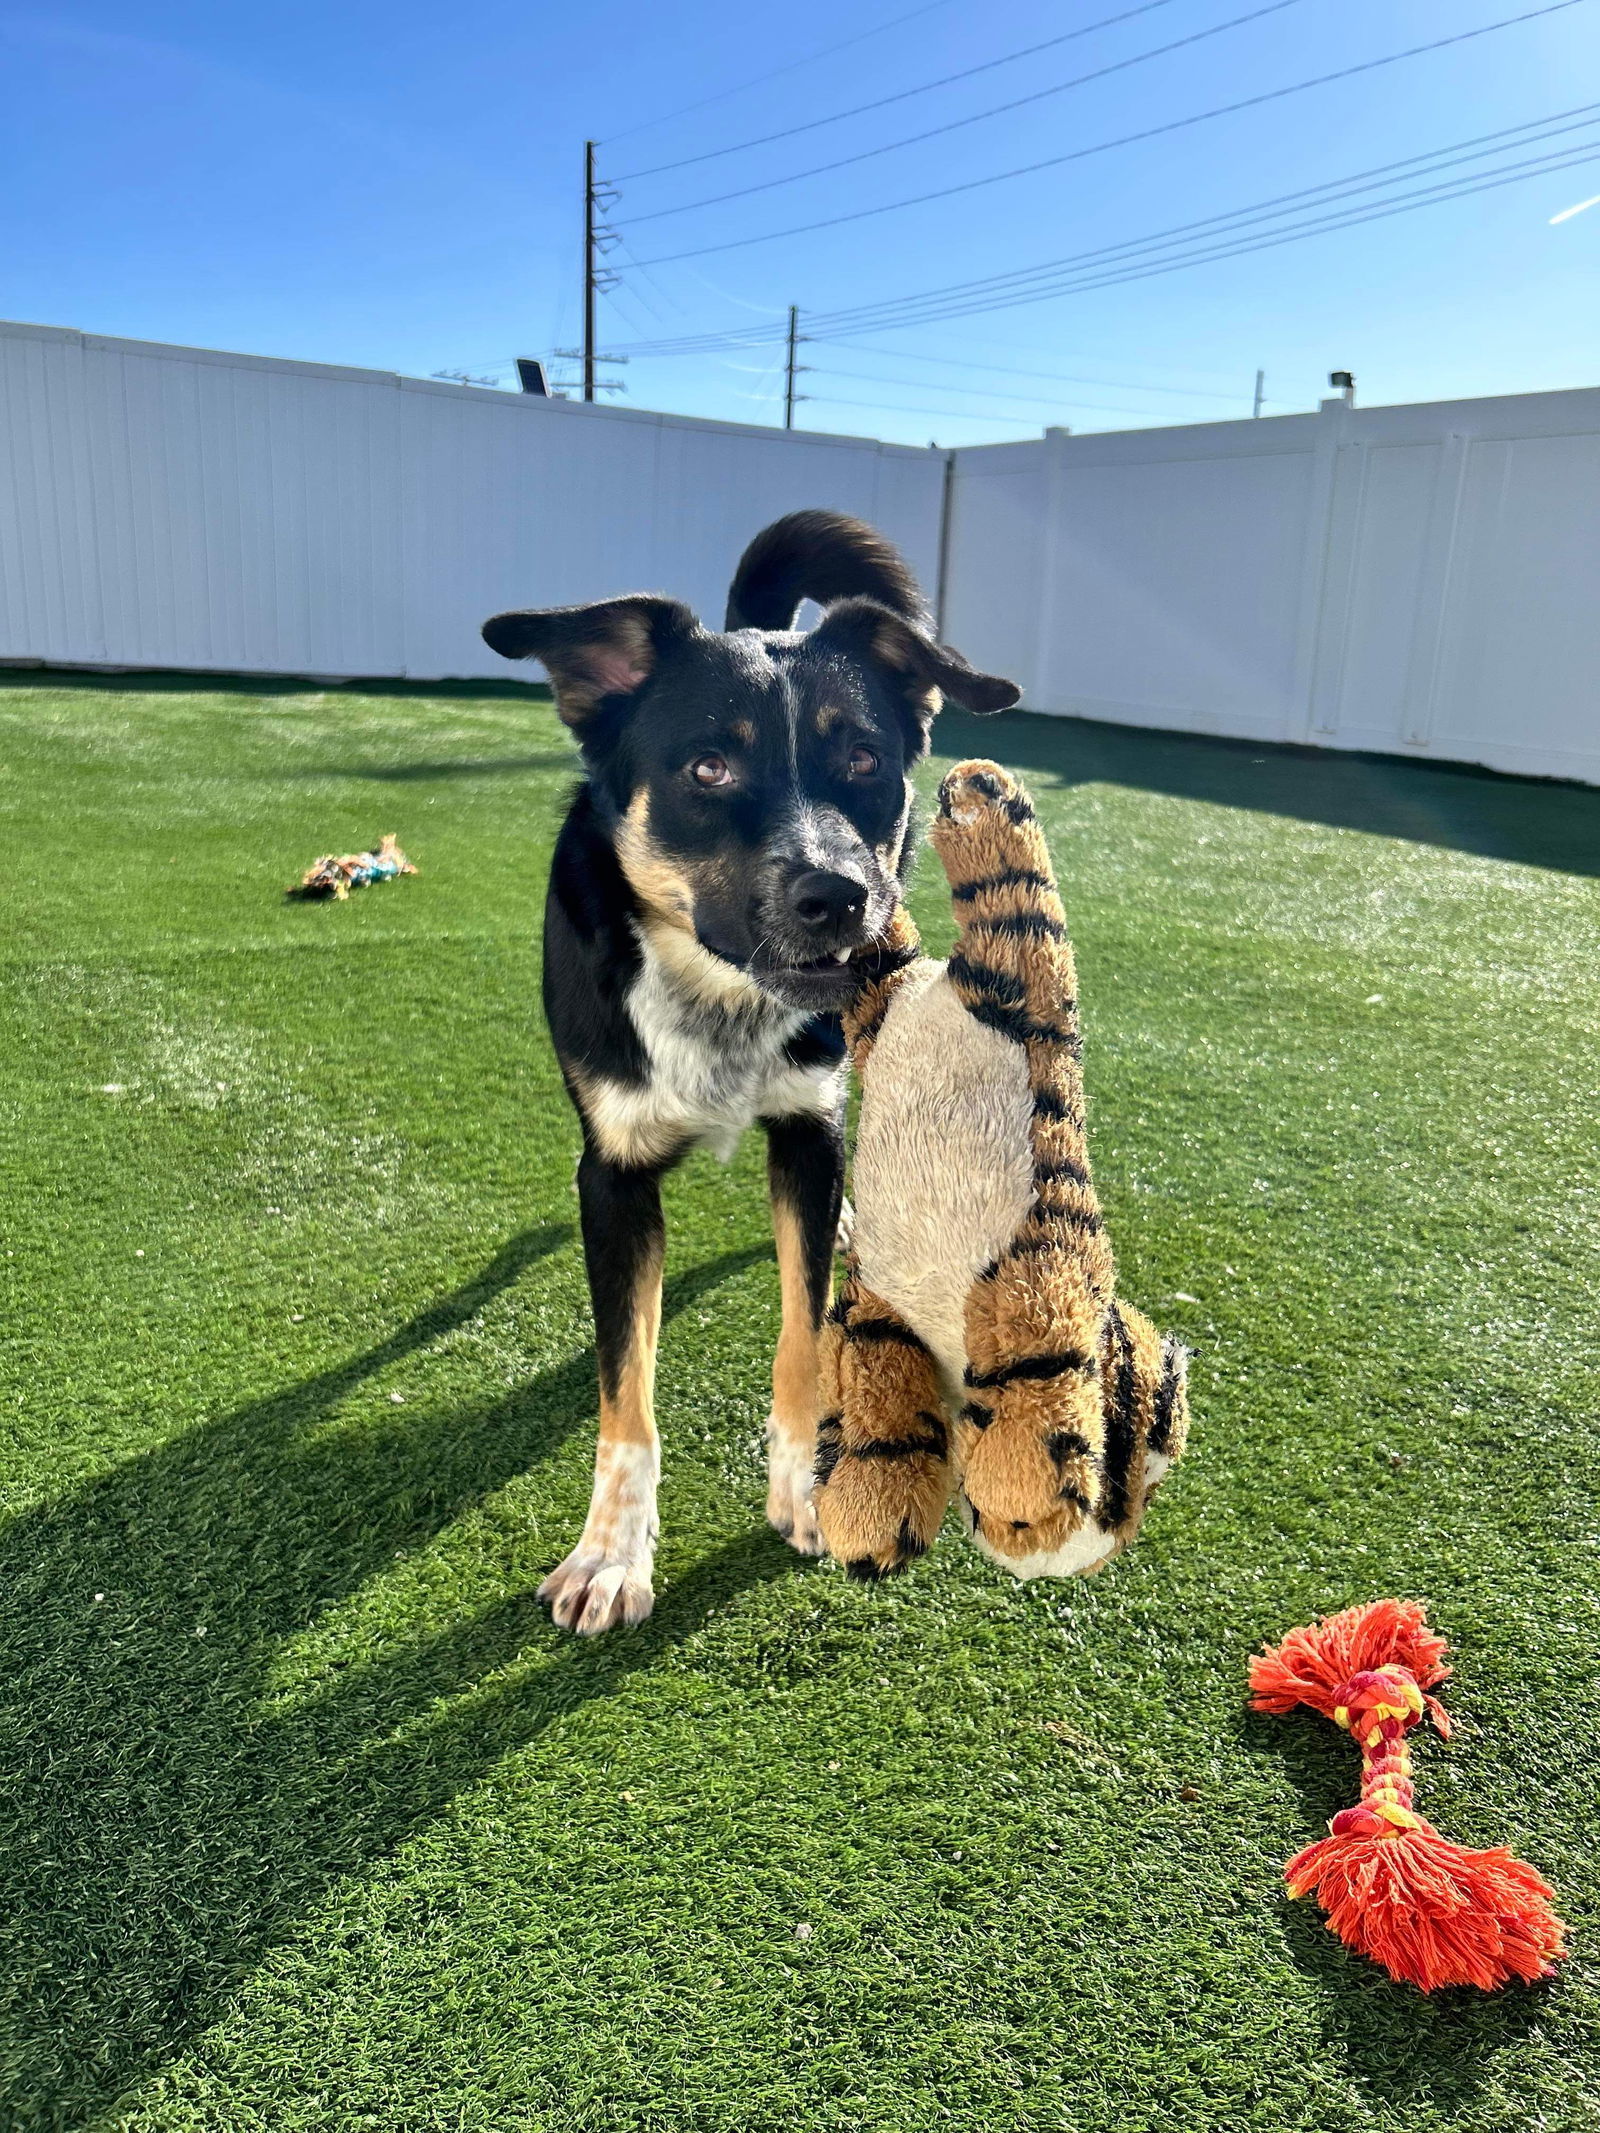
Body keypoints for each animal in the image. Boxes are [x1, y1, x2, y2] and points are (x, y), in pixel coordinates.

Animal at [482, 511, 1019, 1629]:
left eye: (862, 754)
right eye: (708, 769)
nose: (838, 895)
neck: (716, 992)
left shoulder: (808, 1130)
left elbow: (803, 1335)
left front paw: (809, 1490)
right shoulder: (613, 1175)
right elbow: (626, 1393)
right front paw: (610, 1555)